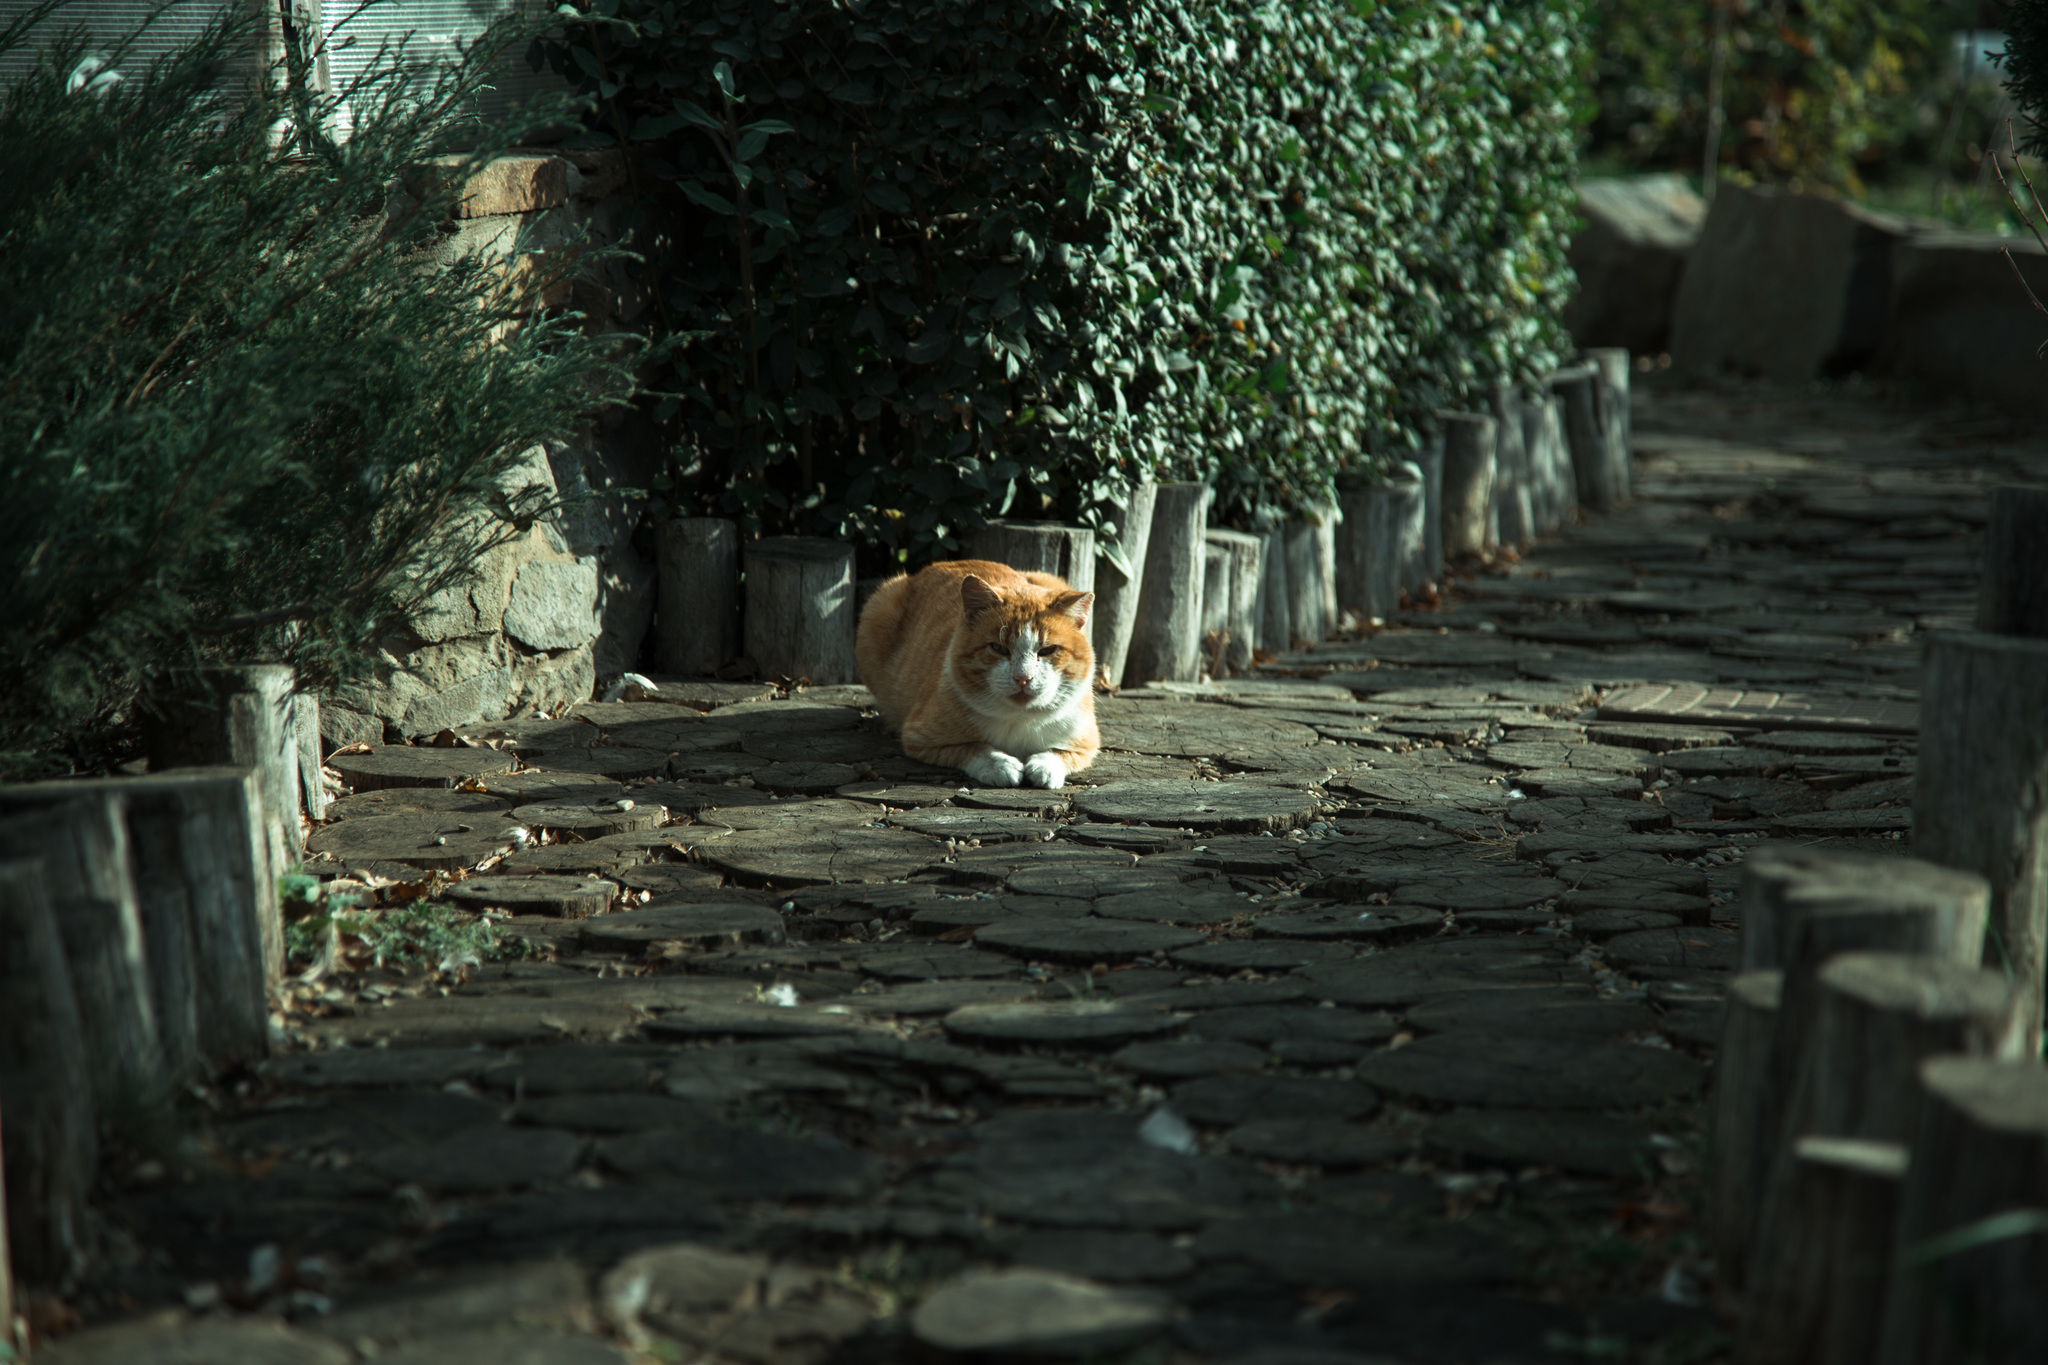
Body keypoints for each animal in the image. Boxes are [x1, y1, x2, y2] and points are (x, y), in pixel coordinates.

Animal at [856, 556, 1097, 789]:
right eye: (999, 648)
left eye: (1047, 650)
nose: (1022, 678)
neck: (1018, 718)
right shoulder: (920, 738)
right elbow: (973, 748)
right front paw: (1000, 765)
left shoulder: (1087, 742)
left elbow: (1061, 752)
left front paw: (1044, 767)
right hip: (878, 606)